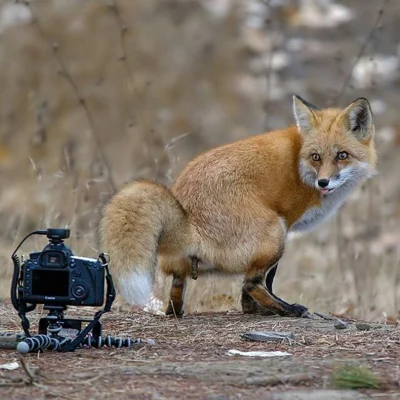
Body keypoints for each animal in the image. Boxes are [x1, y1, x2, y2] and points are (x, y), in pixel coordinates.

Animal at [98, 95, 376, 318]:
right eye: (316, 157)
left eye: (342, 155)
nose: (323, 182)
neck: (300, 164)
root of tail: (191, 223)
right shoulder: (287, 222)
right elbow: (266, 280)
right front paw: (262, 308)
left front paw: (252, 309)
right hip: (274, 232)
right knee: (252, 282)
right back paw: (289, 310)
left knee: (178, 287)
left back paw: (177, 311)